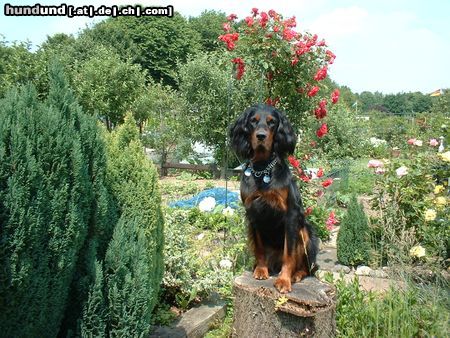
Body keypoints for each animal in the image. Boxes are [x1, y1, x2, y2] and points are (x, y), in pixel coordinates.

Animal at [230, 103, 318, 294]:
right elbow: (259, 247)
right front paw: (261, 270)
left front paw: (284, 280)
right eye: (253, 121)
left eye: (272, 122)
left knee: (308, 268)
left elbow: (289, 253)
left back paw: (295, 275)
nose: (261, 136)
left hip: (305, 233)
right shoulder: (253, 213)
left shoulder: (291, 215)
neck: (262, 168)